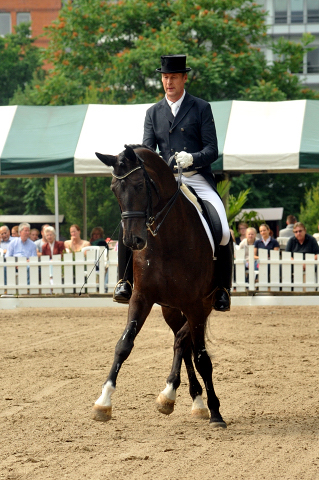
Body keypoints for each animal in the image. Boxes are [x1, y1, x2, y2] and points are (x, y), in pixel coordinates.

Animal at [92, 145, 228, 428]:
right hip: (170, 309)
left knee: (185, 344)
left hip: (201, 306)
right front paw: (103, 401)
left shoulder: (196, 305)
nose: (133, 240)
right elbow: (124, 344)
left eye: (140, 185)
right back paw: (182, 398)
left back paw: (188, 399)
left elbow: (203, 358)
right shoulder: (141, 297)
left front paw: (216, 413)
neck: (168, 239)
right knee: (182, 344)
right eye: (114, 188)